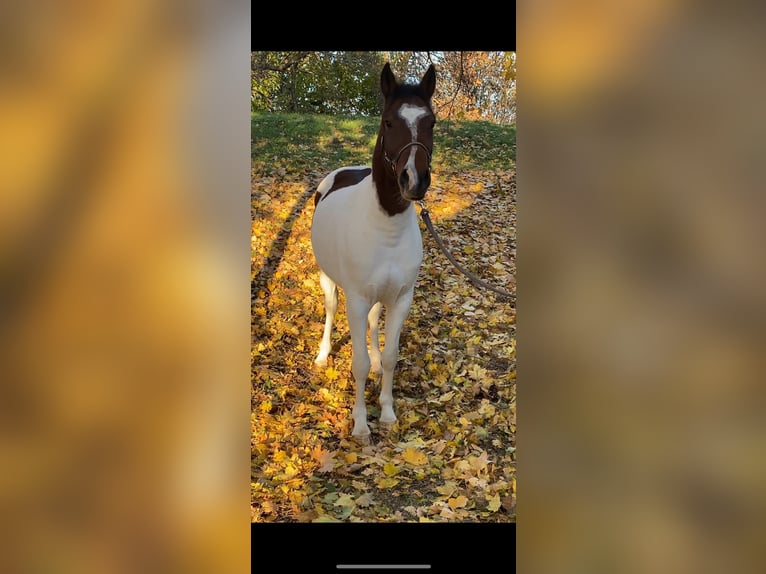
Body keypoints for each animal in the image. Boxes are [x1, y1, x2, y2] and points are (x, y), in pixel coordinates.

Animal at [308, 63, 436, 440]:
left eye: (431, 122)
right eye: (389, 122)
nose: (414, 181)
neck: (385, 229)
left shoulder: (402, 297)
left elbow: (392, 355)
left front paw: (389, 412)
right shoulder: (356, 298)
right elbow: (358, 363)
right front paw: (361, 424)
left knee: (373, 322)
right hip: (328, 280)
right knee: (331, 310)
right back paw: (322, 355)